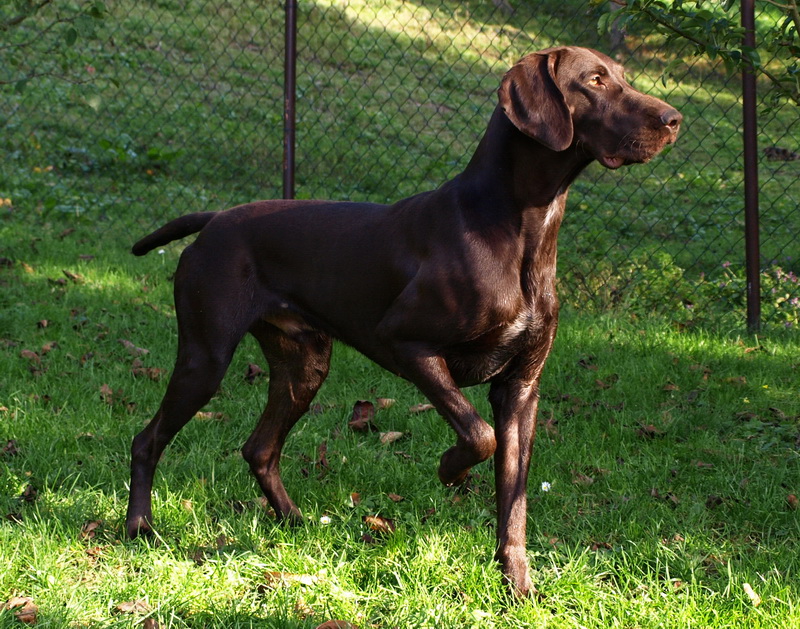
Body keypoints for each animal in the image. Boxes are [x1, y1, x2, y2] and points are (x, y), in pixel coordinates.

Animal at [128, 46, 680, 596]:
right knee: (147, 439)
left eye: (624, 77)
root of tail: (215, 218)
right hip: (206, 359)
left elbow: (514, 496)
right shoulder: (405, 344)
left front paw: (517, 582)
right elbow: (479, 434)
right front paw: (450, 470)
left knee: (260, 449)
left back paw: (293, 522)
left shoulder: (522, 389)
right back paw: (140, 529)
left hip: (304, 366)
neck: (519, 226)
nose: (674, 119)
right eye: (594, 80)